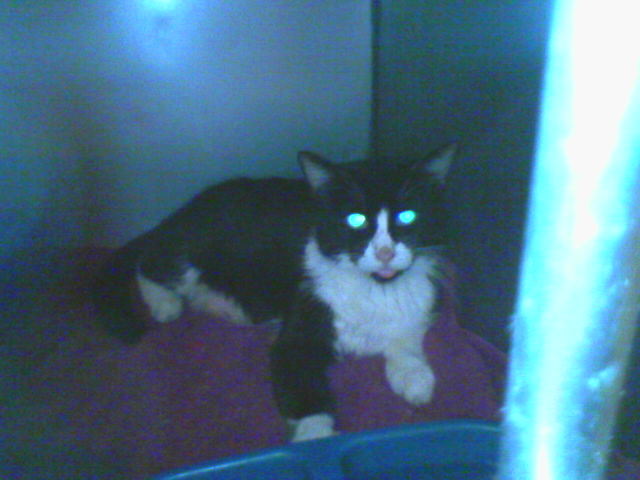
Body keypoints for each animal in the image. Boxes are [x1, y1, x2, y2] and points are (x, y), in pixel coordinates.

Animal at [92, 143, 456, 441]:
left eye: (407, 215)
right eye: (355, 219)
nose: (384, 252)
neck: (376, 288)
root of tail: (177, 215)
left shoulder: (418, 303)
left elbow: (405, 336)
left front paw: (415, 378)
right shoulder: (302, 318)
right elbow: (300, 383)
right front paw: (315, 439)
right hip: (193, 248)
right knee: (150, 263)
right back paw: (165, 303)